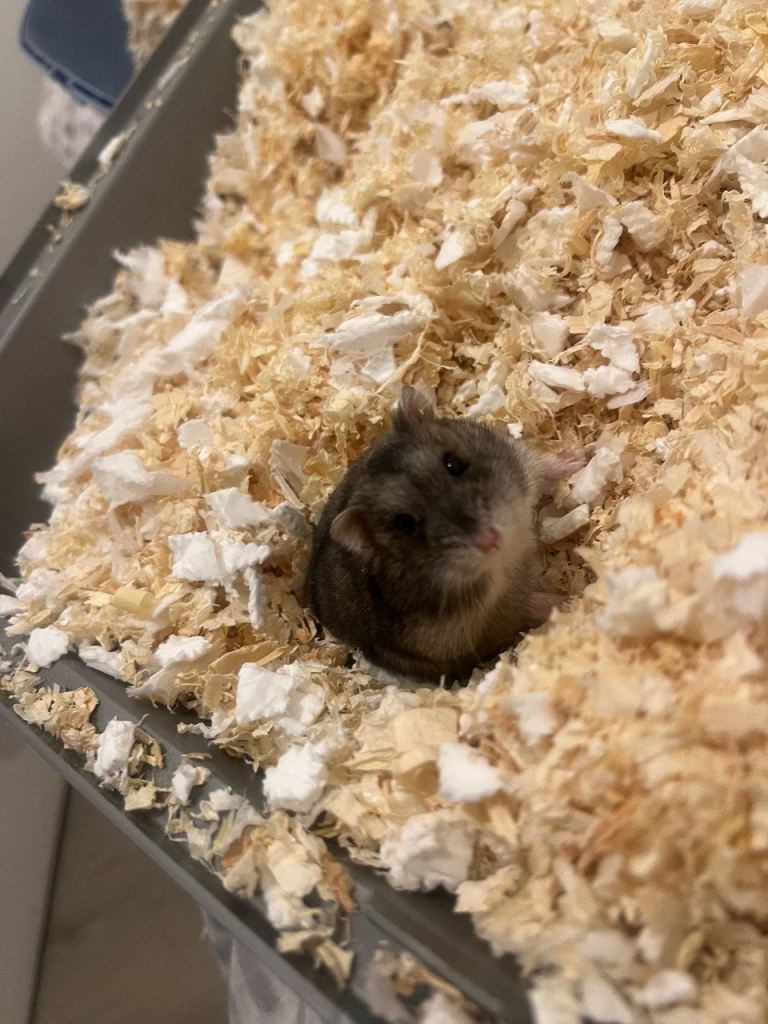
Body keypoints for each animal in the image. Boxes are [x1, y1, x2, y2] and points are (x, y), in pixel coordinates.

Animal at [307, 386, 582, 683]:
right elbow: (534, 604)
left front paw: (578, 457)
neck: (504, 557)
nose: (491, 539)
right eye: (405, 523)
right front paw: (571, 601)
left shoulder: (519, 461)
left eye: (454, 464)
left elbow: (543, 465)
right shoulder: (489, 620)